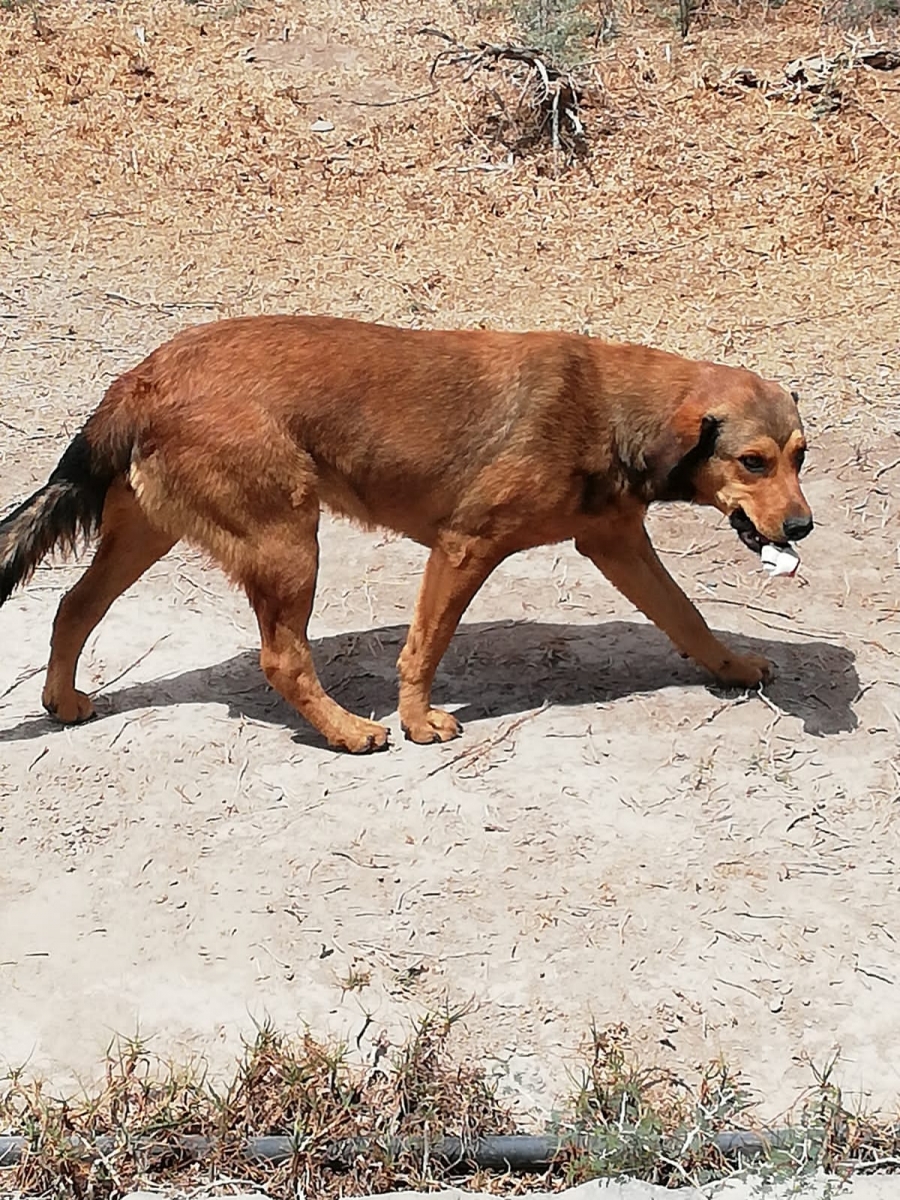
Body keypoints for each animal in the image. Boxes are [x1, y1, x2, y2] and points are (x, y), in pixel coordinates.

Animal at [0, 316, 816, 748]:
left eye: (801, 457)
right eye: (753, 460)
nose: (803, 525)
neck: (612, 406)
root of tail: (140, 379)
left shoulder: (618, 544)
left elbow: (688, 618)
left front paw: (733, 667)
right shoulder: (465, 547)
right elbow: (425, 647)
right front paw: (420, 720)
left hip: (148, 535)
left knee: (73, 607)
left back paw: (62, 700)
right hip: (288, 543)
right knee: (282, 660)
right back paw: (346, 730)